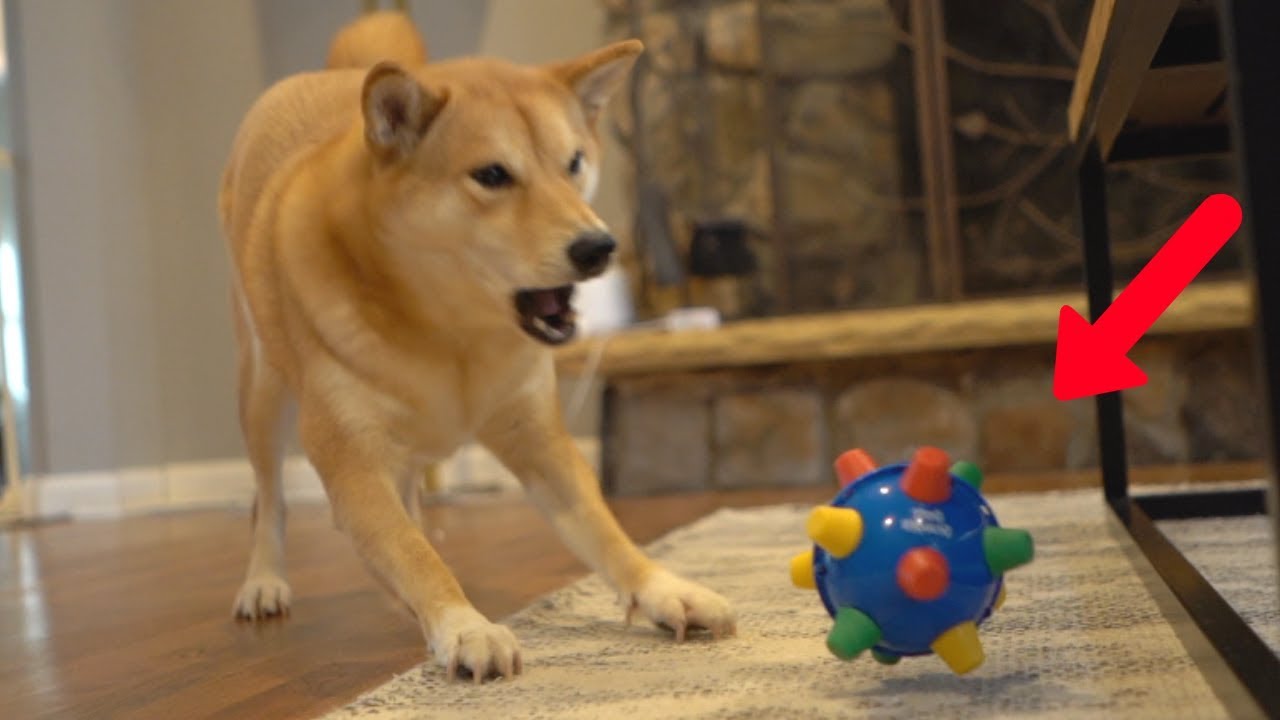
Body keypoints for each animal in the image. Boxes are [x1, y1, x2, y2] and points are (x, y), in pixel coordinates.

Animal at [218, 11, 737, 676]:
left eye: (573, 162)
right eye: (492, 175)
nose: (599, 247)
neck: (450, 334)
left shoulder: (540, 442)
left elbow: (606, 532)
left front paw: (664, 587)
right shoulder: (354, 466)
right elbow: (413, 553)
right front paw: (463, 624)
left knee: (409, 504)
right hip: (260, 389)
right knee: (269, 499)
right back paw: (265, 580)